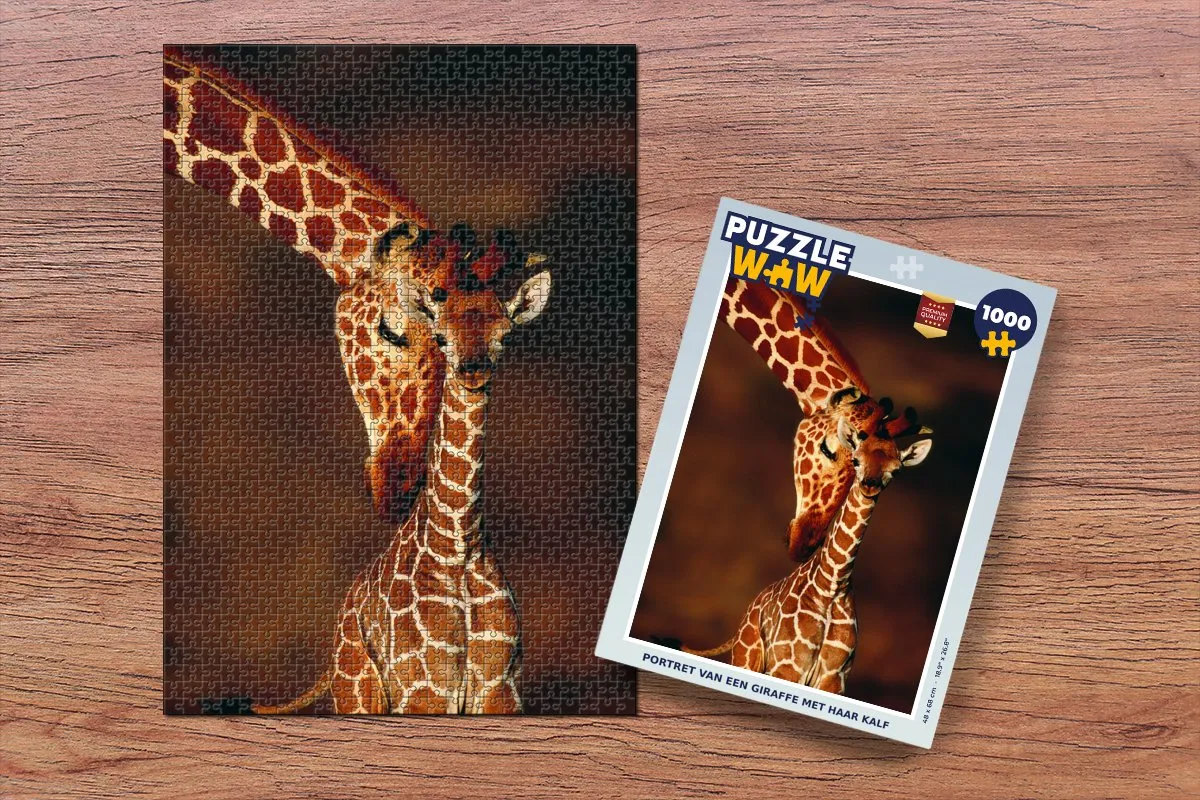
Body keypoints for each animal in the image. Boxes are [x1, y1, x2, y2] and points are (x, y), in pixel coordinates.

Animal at [252, 225, 551, 714]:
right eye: (442, 337)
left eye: (505, 335)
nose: (472, 370)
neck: (457, 546)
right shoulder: (423, 688)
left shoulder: (500, 688)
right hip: (359, 692)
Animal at [682, 390, 932, 693]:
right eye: (856, 460)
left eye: (895, 470)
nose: (870, 485)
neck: (831, 586)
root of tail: (745, 617)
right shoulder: (788, 667)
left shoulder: (834, 677)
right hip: (747, 658)